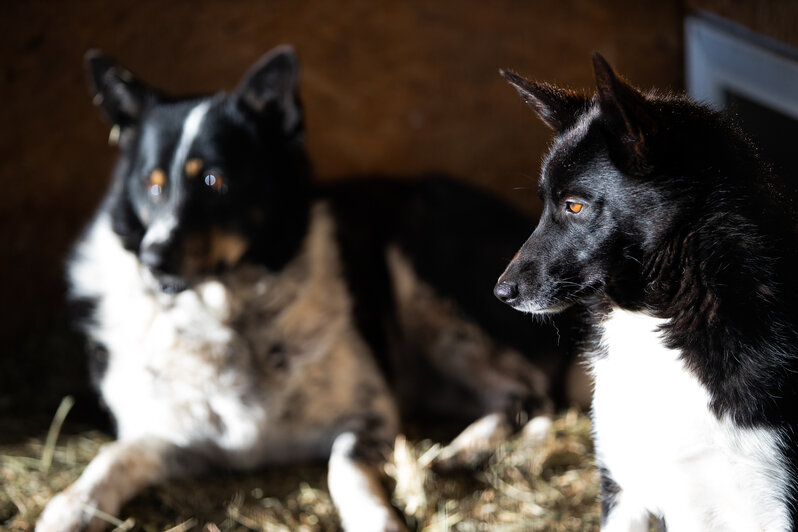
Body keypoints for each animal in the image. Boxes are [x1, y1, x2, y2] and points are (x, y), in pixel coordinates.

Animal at [37, 47, 580, 528]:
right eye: (152, 185)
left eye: (214, 181)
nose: (152, 260)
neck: (228, 314)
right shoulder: (167, 436)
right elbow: (112, 457)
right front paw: (68, 507)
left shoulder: (367, 419)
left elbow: (343, 470)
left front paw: (374, 518)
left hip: (426, 273)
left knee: (533, 392)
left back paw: (473, 448)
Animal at [494, 53, 798, 528]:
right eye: (544, 203)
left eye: (574, 206)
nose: (501, 292)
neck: (657, 319)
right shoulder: (623, 490)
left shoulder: (771, 508)